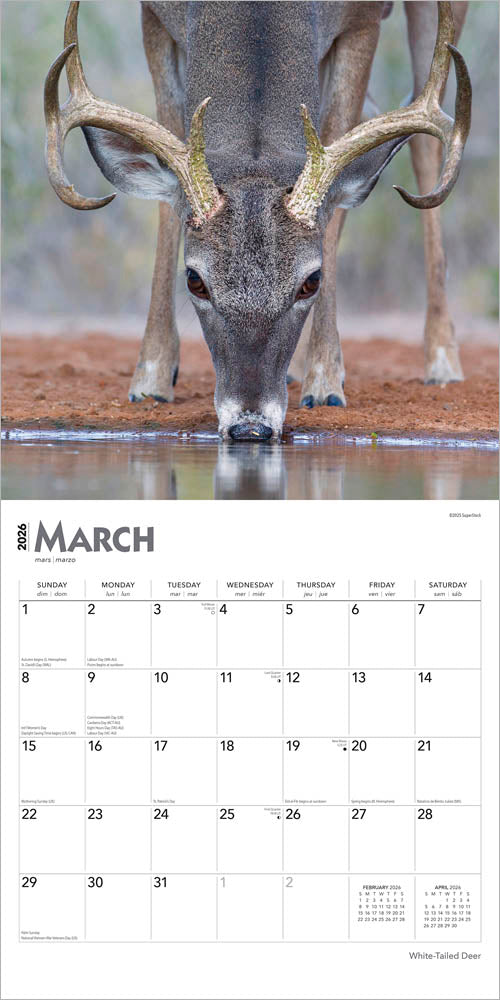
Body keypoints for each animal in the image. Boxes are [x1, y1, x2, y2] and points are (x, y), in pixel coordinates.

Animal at [44, 1, 471, 440]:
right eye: (194, 280)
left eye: (312, 280)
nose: (250, 426)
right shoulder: (155, 18)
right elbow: (168, 183)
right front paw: (151, 379)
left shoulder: (364, 21)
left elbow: (335, 184)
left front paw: (326, 383)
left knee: (424, 137)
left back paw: (442, 362)